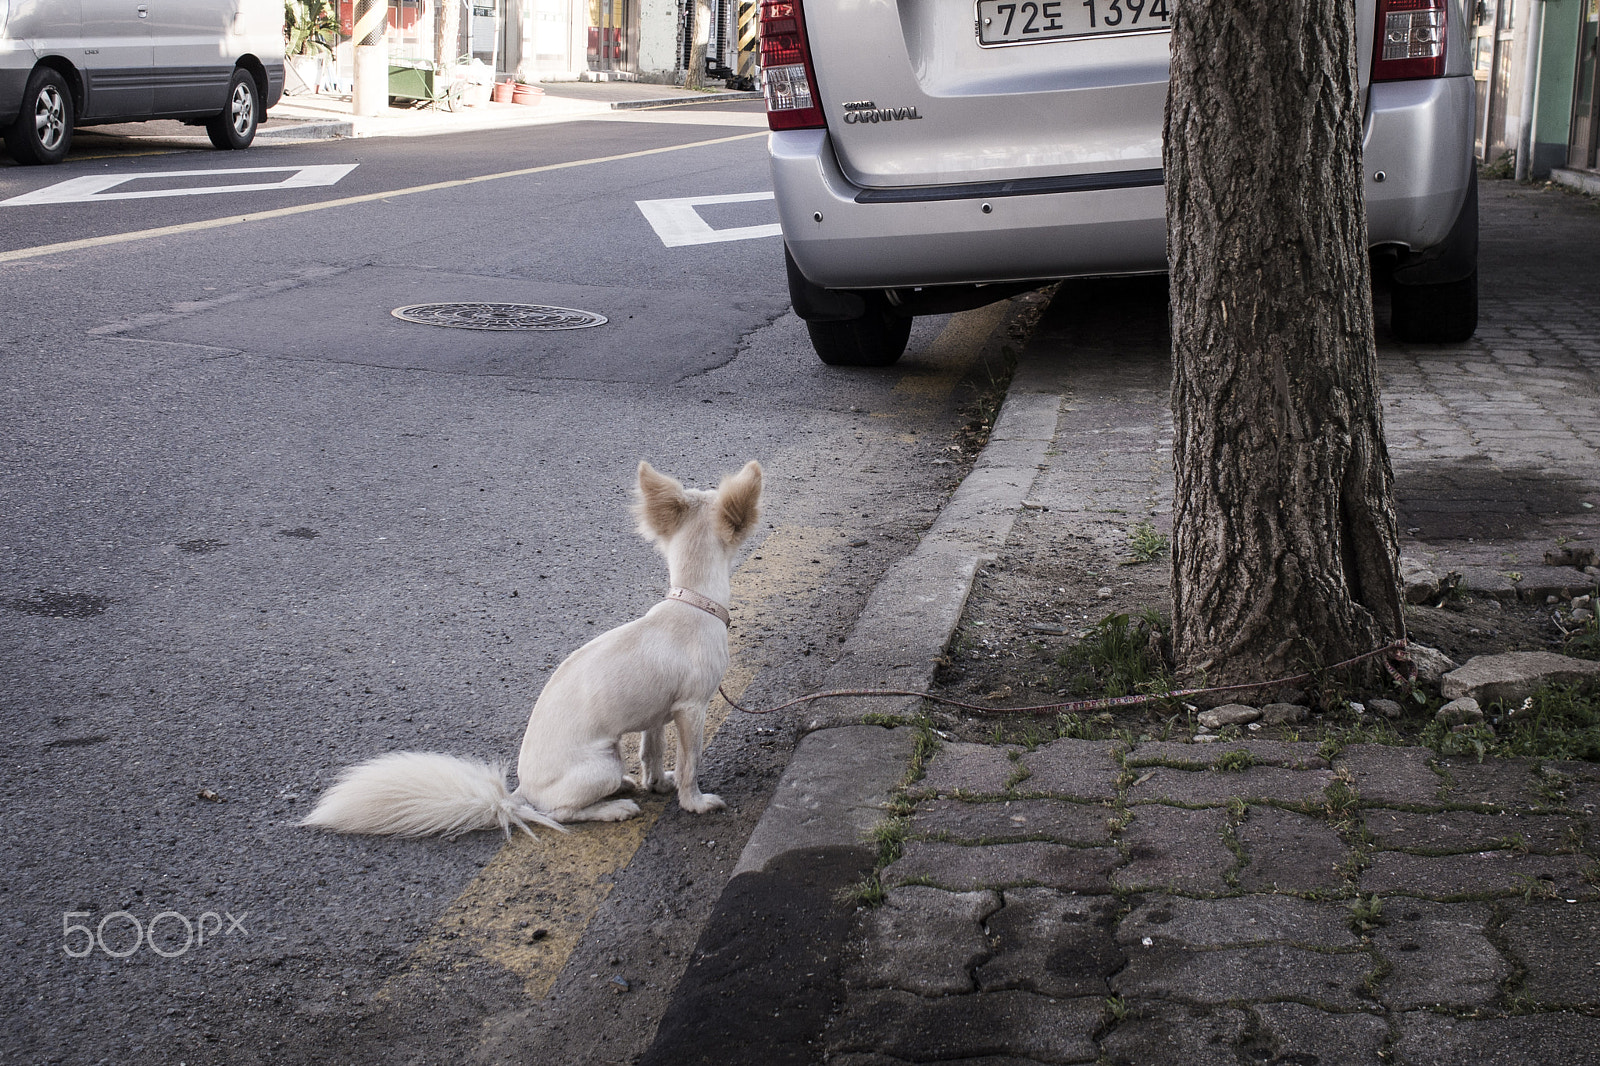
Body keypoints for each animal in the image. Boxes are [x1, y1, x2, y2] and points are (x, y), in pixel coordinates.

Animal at [307, 460, 768, 832]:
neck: (691, 601)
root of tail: (519, 794)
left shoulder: (656, 715)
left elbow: (651, 754)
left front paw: (657, 784)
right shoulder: (692, 709)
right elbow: (691, 763)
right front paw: (694, 802)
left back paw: (625, 787)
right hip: (601, 763)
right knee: (560, 813)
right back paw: (612, 808)